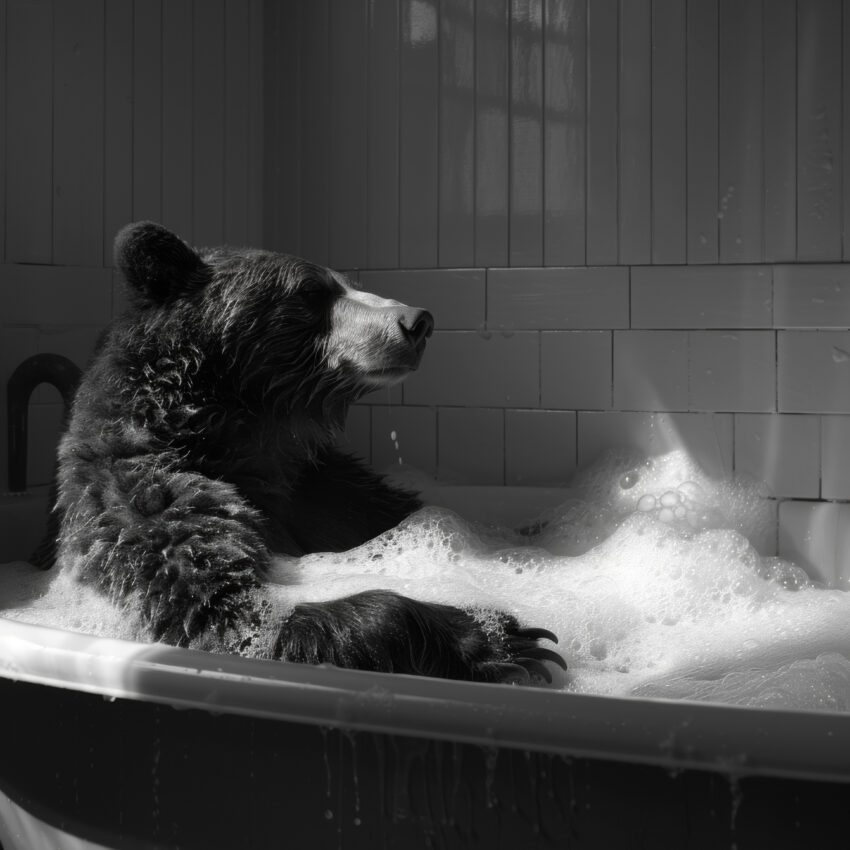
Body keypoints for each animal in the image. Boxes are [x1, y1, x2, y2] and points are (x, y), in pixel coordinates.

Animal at [48, 222, 565, 683]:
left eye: (350, 282)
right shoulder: (148, 503)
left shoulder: (324, 489)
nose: (417, 322)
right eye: (312, 291)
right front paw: (495, 636)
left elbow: (406, 515)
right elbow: (229, 614)